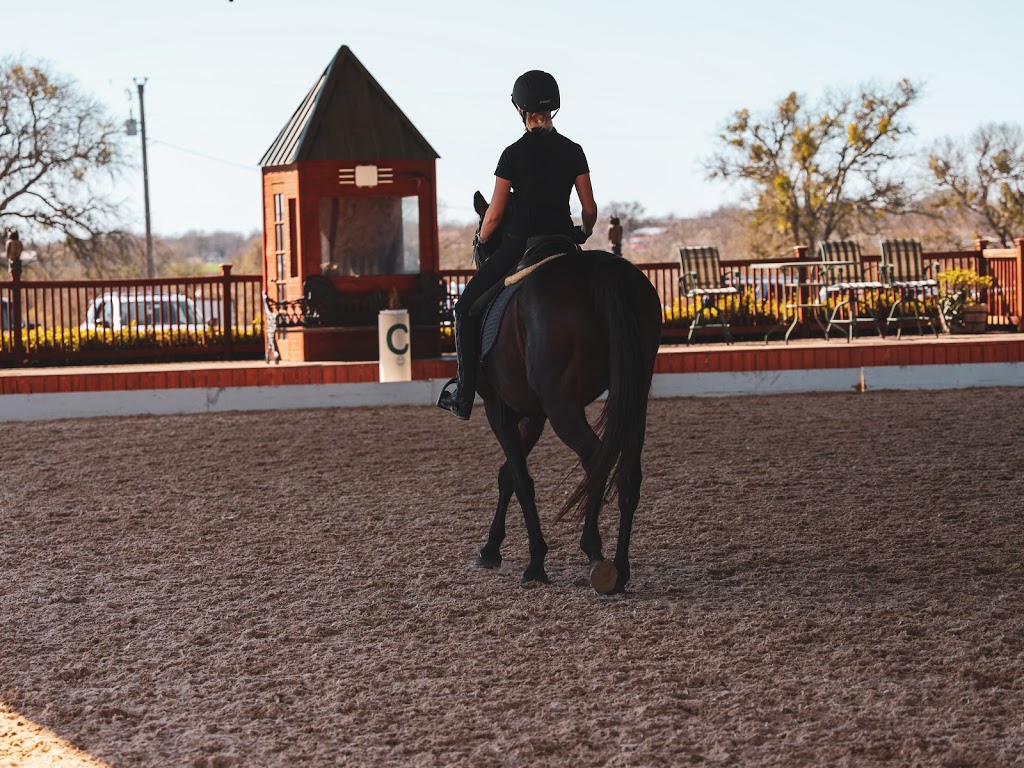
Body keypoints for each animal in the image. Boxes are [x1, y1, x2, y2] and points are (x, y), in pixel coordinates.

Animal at [466, 193, 663, 593]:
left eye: (479, 235)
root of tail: (604, 272)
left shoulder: (499, 409)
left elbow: (521, 479)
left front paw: (535, 562)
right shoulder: (533, 414)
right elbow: (508, 475)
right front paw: (491, 549)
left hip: (563, 409)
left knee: (597, 459)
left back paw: (595, 554)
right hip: (633, 401)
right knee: (628, 474)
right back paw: (620, 568)